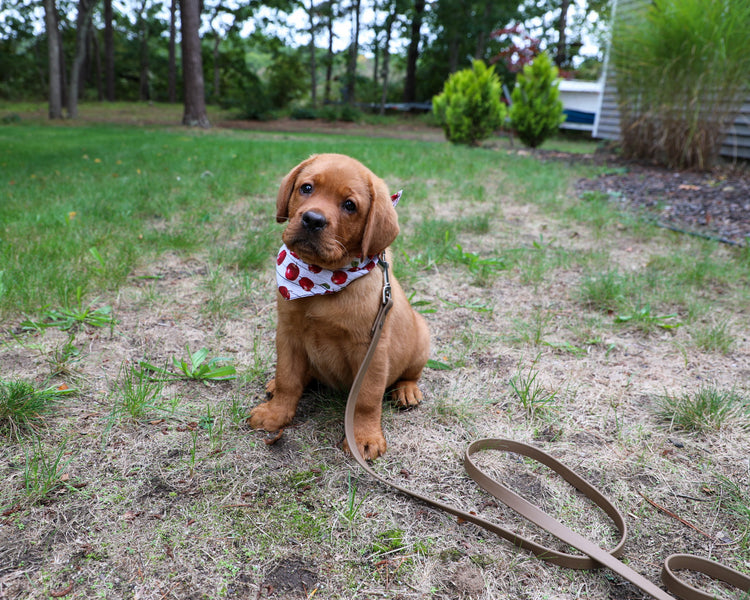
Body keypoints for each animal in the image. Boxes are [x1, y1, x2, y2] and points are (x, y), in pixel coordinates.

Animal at [251, 152, 432, 458]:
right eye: (306, 188)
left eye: (349, 205)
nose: (312, 220)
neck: (318, 280)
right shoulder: (287, 333)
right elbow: (288, 378)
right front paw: (275, 414)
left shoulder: (370, 349)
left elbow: (366, 399)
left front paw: (363, 438)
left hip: (421, 337)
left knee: (410, 374)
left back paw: (407, 391)